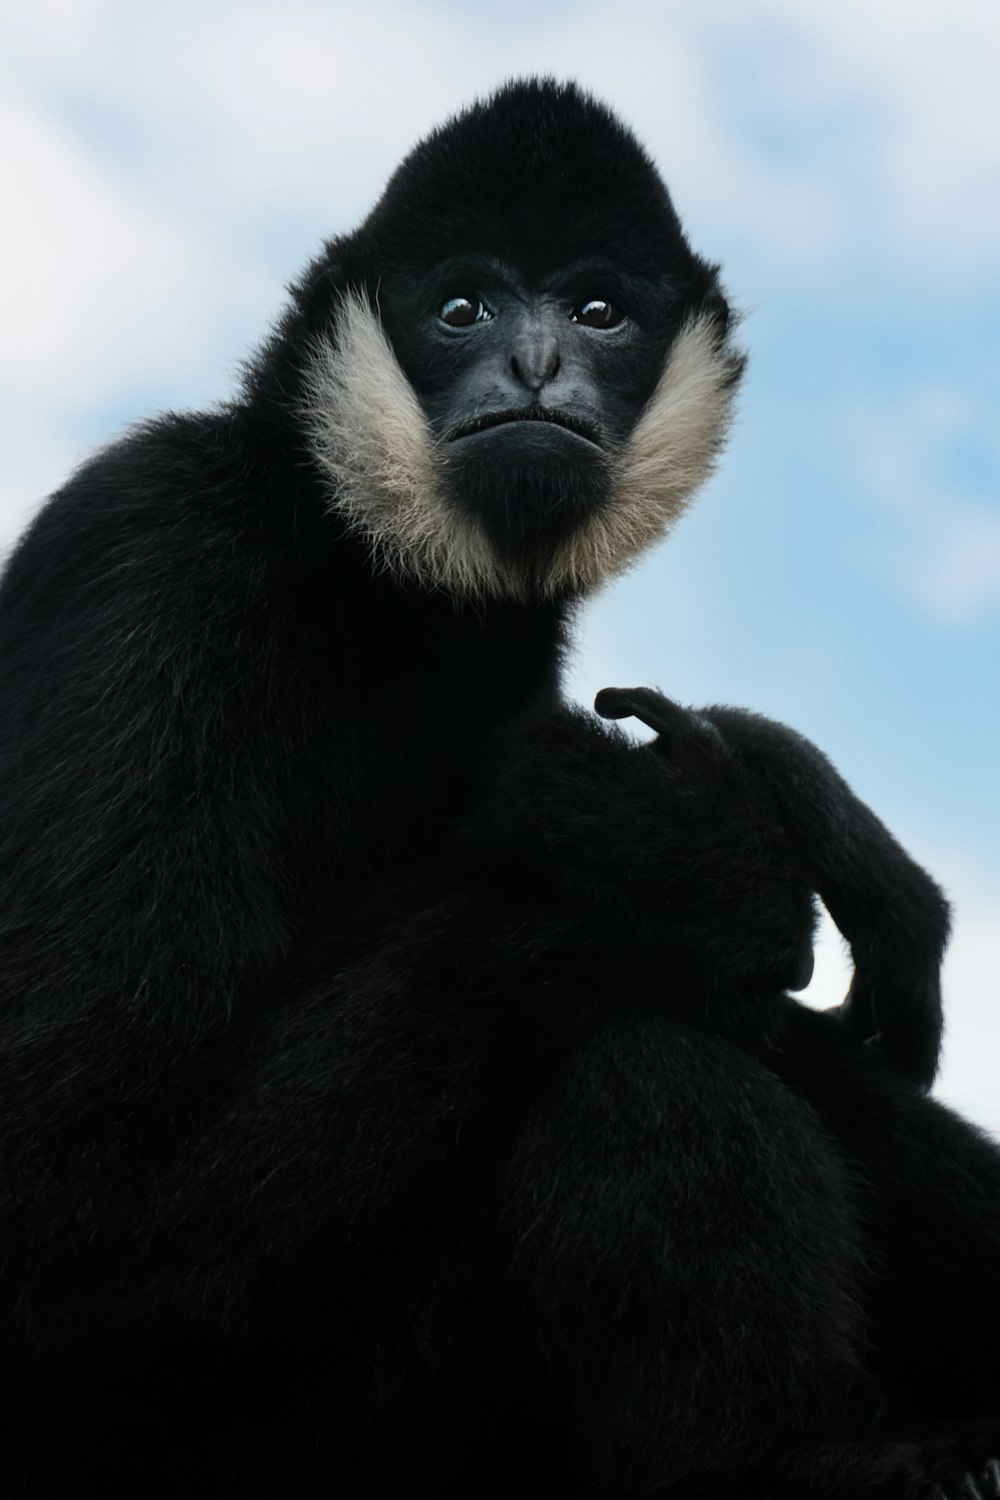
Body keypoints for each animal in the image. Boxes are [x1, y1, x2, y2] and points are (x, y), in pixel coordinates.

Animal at [0, 82, 995, 1500]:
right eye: (462, 309)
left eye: (598, 312)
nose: (534, 367)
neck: (359, 569)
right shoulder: (147, 558)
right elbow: (68, 1206)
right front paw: (666, 843)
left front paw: (777, 780)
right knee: (632, 1035)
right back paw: (798, 1458)